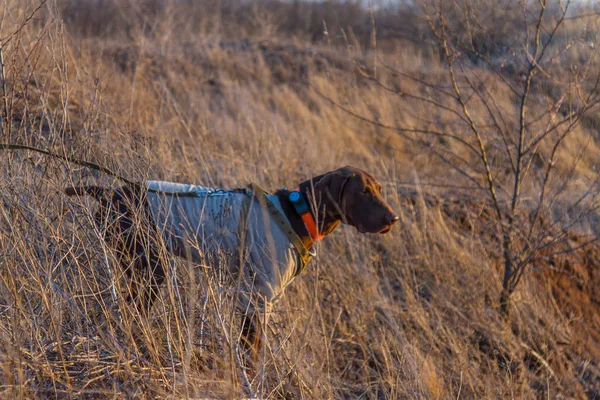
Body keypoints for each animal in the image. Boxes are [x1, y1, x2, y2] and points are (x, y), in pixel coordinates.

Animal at [64, 166, 398, 356]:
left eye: (380, 190)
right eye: (364, 192)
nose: (393, 219)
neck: (296, 213)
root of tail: (110, 193)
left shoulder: (255, 298)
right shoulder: (257, 297)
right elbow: (253, 351)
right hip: (149, 267)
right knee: (132, 309)